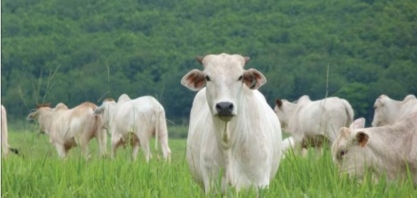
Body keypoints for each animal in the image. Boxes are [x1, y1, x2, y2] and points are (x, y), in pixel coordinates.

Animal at [180, 53, 282, 193]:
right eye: (207, 77)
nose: (224, 106)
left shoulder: (260, 184)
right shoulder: (211, 186)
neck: (228, 143)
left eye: (240, 77)